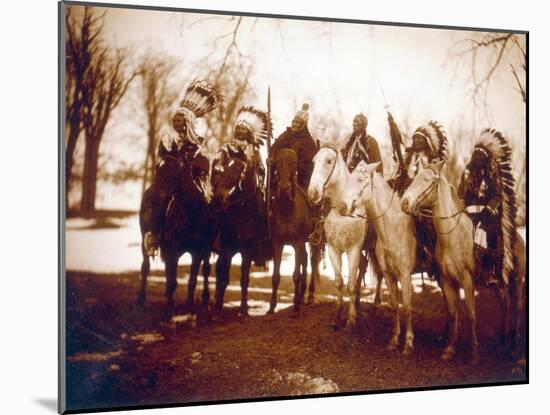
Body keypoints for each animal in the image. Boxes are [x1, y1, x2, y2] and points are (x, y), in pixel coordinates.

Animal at [138, 154, 216, 316]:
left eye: (176, 172)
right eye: (156, 168)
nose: (151, 196)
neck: (190, 213)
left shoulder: (198, 251)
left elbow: (192, 280)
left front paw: (190, 305)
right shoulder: (171, 251)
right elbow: (171, 280)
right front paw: (169, 306)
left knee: (205, 269)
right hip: (145, 241)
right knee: (145, 266)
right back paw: (141, 298)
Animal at [211, 154, 270, 316]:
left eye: (238, 173)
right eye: (222, 171)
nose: (217, 200)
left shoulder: (247, 250)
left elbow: (244, 279)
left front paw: (244, 308)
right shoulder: (227, 249)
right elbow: (224, 278)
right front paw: (218, 308)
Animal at [268, 148, 322, 314]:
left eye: (293, 163)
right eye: (278, 162)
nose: (284, 188)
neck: (287, 208)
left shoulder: (298, 243)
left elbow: (296, 275)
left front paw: (296, 307)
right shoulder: (277, 243)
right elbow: (275, 276)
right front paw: (272, 307)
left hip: (315, 239)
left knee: (313, 261)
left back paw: (310, 295)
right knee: (305, 260)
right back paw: (302, 293)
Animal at [308, 147, 368, 332]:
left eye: (328, 161)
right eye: (314, 161)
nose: (312, 192)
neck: (342, 212)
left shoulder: (353, 250)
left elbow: (350, 284)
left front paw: (351, 319)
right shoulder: (333, 250)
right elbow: (339, 282)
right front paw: (337, 317)